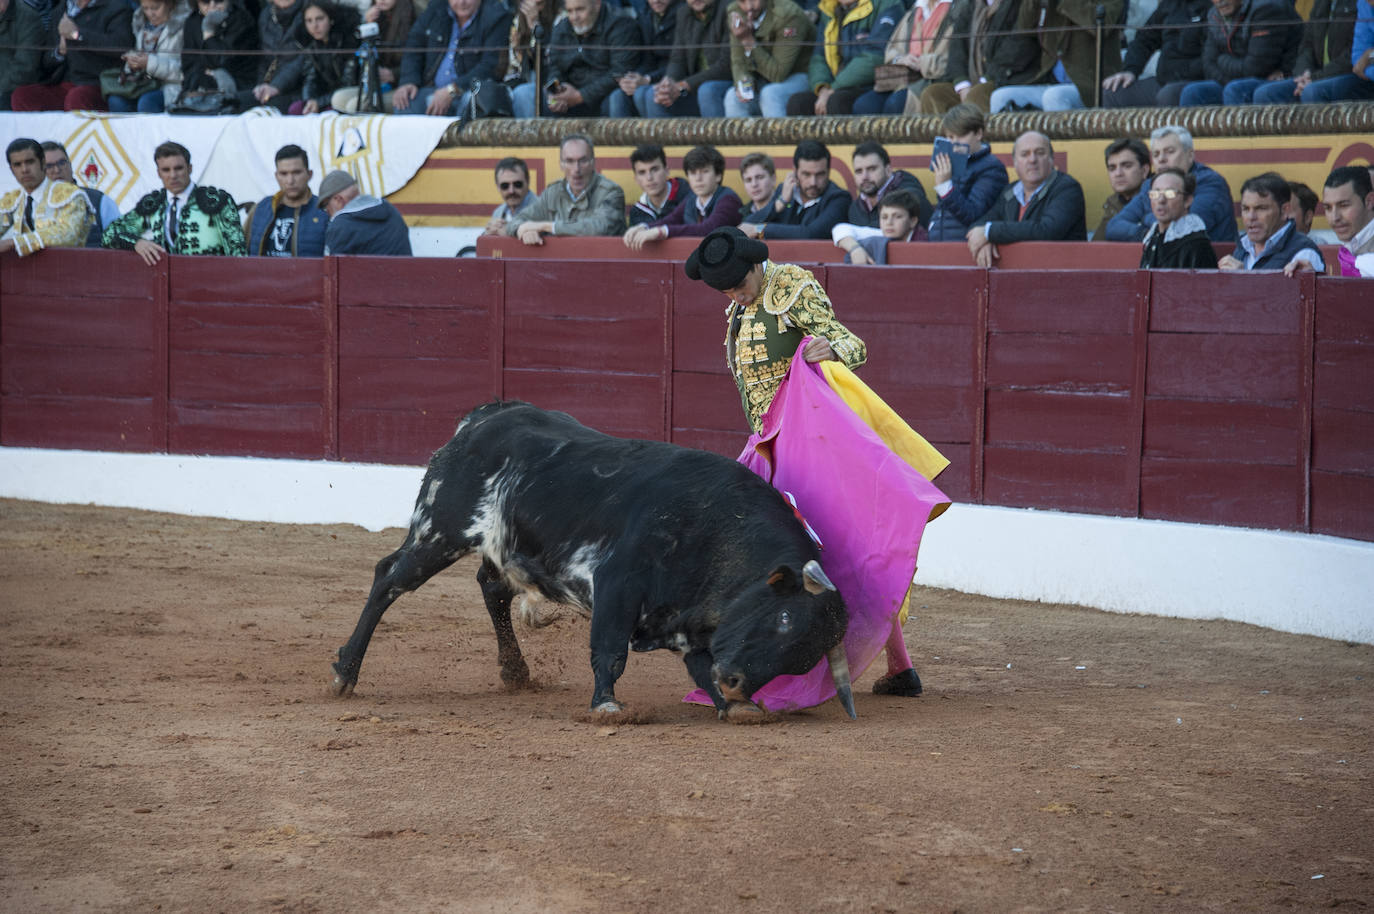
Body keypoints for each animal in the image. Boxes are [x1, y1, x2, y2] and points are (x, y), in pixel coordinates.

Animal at [327, 401, 851, 720]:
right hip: (439, 530)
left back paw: (515, 672)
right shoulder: (617, 583)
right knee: (390, 579)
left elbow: (701, 665)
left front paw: (732, 706)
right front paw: (606, 705)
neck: (717, 528)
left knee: (492, 587)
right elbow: (610, 651)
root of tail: (484, 417)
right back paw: (344, 673)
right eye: (784, 618)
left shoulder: (692, 621)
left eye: (802, 659)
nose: (740, 683)